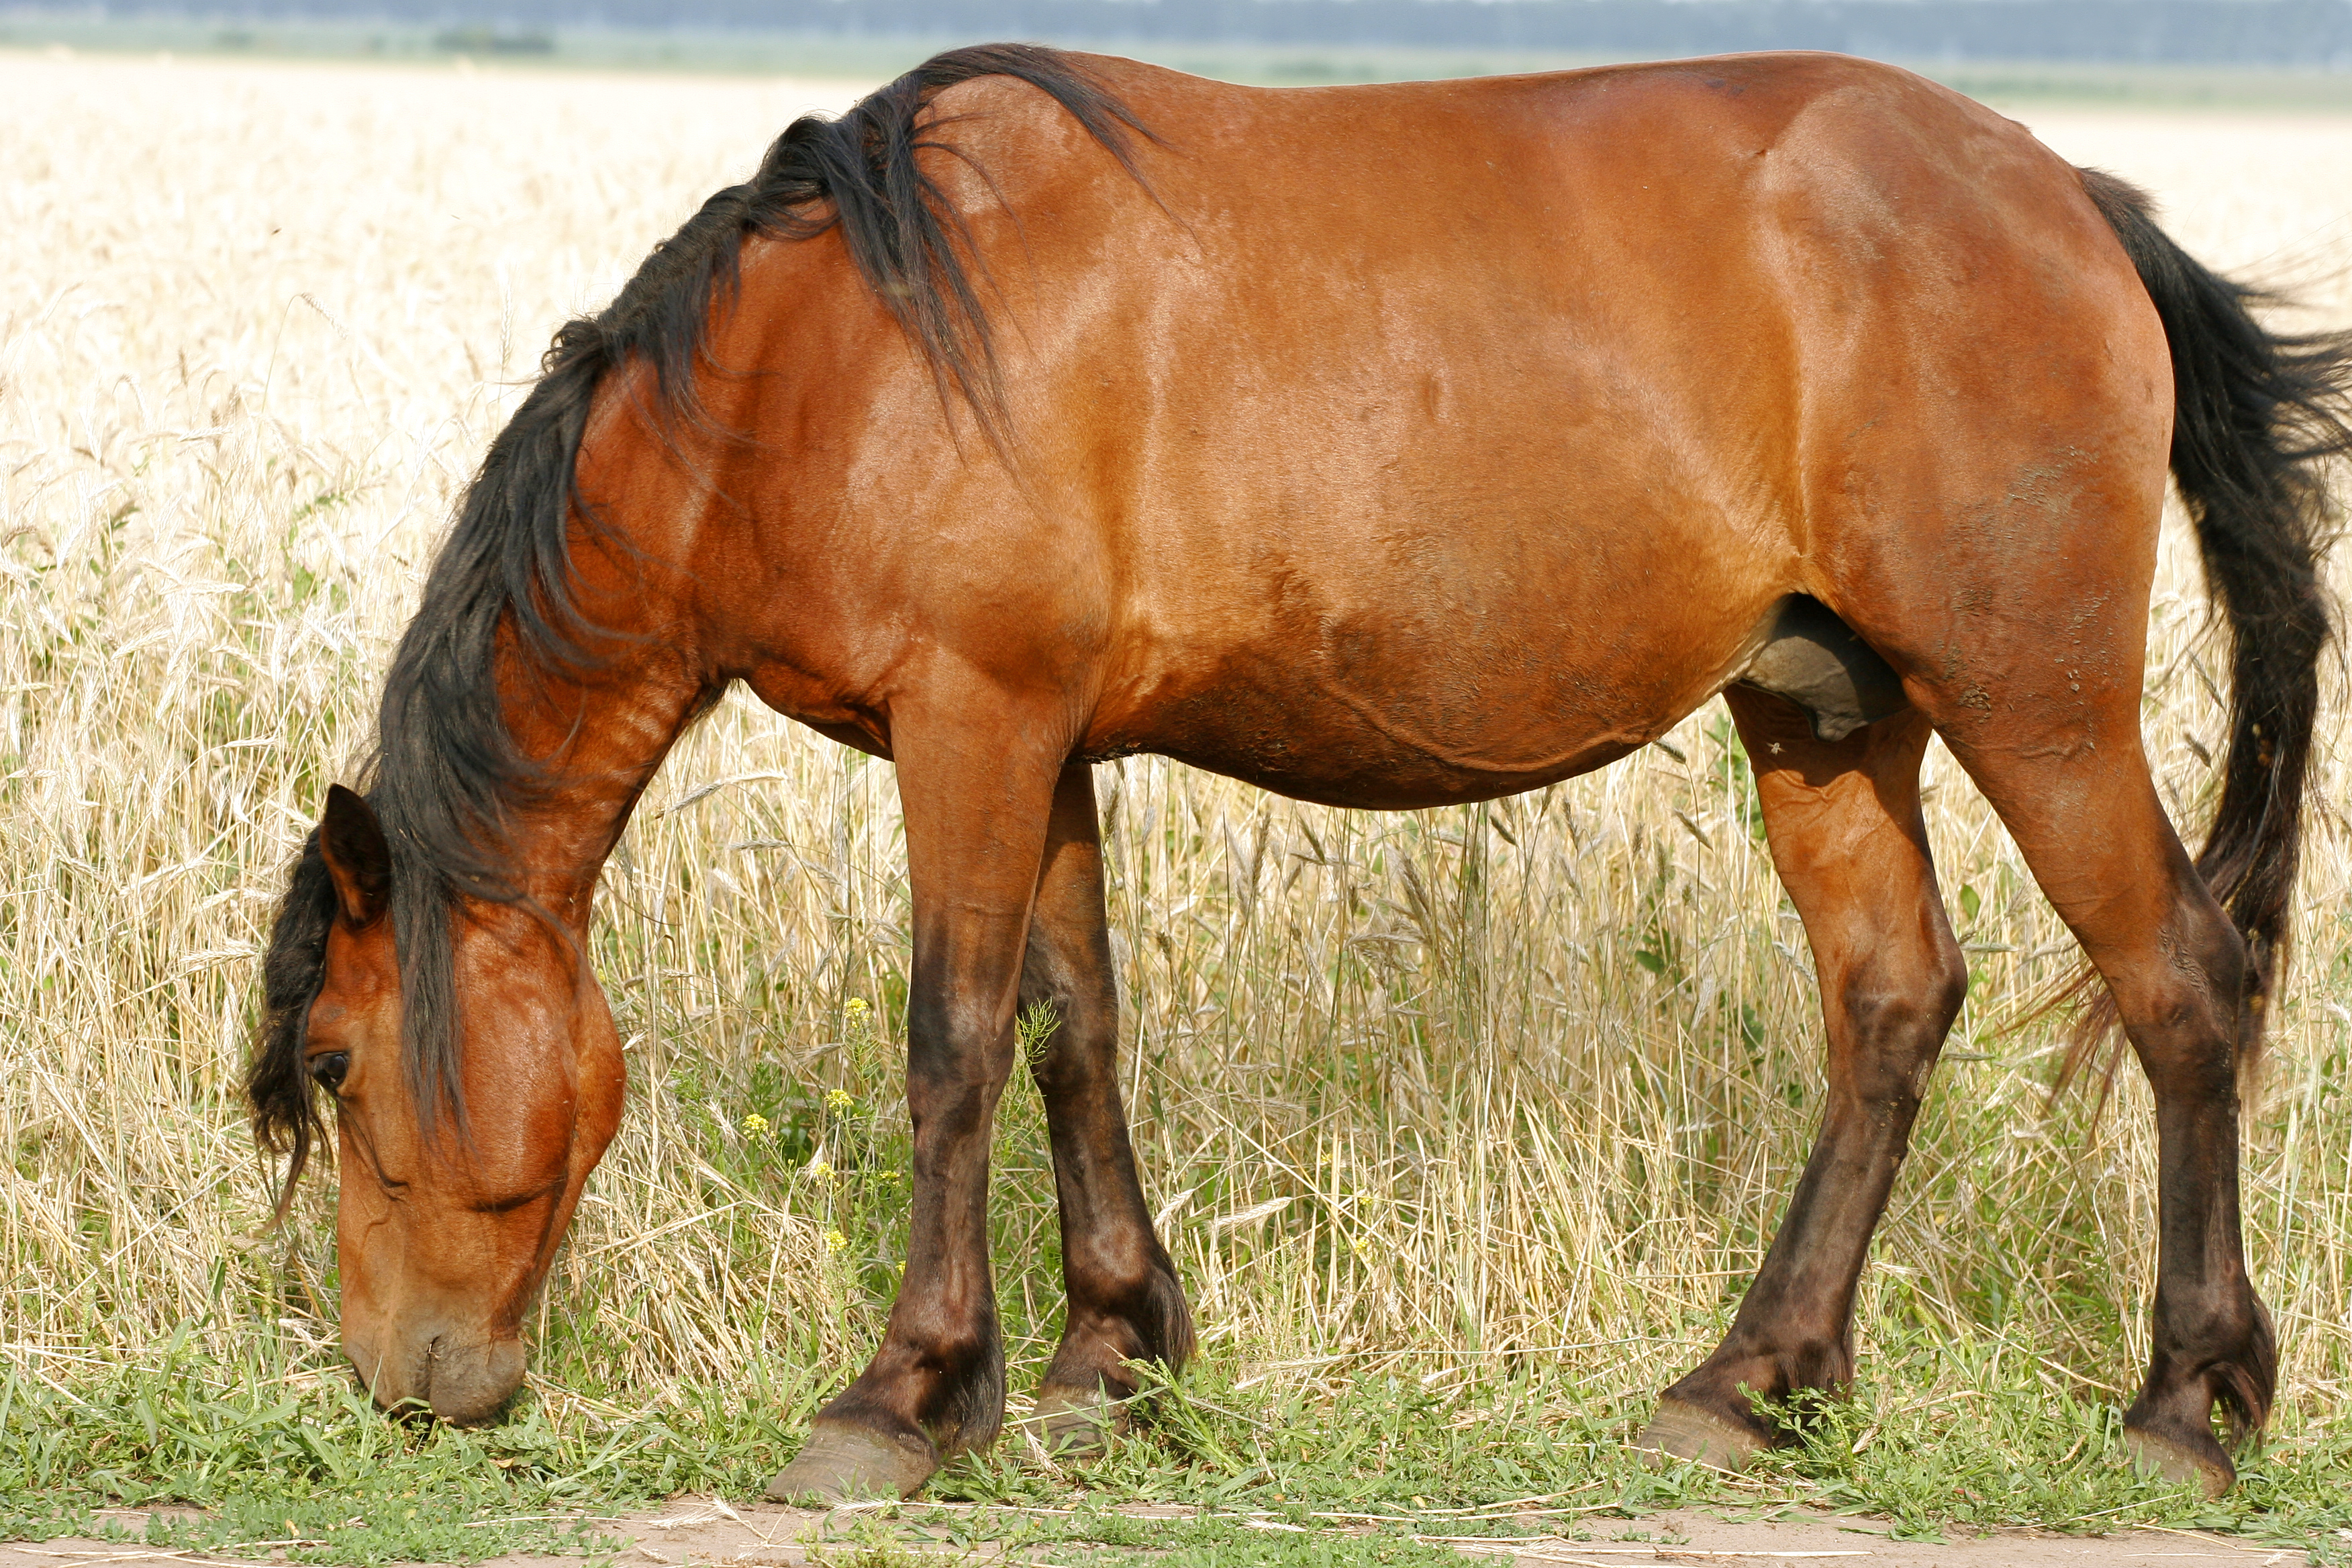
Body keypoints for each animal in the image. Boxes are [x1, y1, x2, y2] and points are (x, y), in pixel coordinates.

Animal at [248, 44, 2350, 1503]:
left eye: (336, 1066)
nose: (401, 1379)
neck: (820, 362)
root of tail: (2066, 197)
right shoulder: (1045, 740)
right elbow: (1071, 1027)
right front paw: (1107, 1359)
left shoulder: (972, 721)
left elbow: (950, 1041)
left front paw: (904, 1394)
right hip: (1825, 714)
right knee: (1892, 1004)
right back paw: (1752, 1380)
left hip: (2030, 702)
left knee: (2179, 983)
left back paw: (2183, 1403)